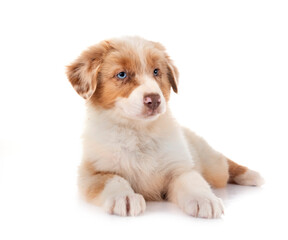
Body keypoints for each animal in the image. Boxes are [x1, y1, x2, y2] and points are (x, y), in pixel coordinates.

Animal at [66, 36, 264, 218]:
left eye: (156, 71)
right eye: (122, 74)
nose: (154, 99)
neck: (139, 131)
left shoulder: (179, 167)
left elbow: (192, 181)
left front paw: (205, 199)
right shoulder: (92, 172)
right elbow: (113, 180)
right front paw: (125, 197)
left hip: (211, 164)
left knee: (225, 165)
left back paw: (252, 175)